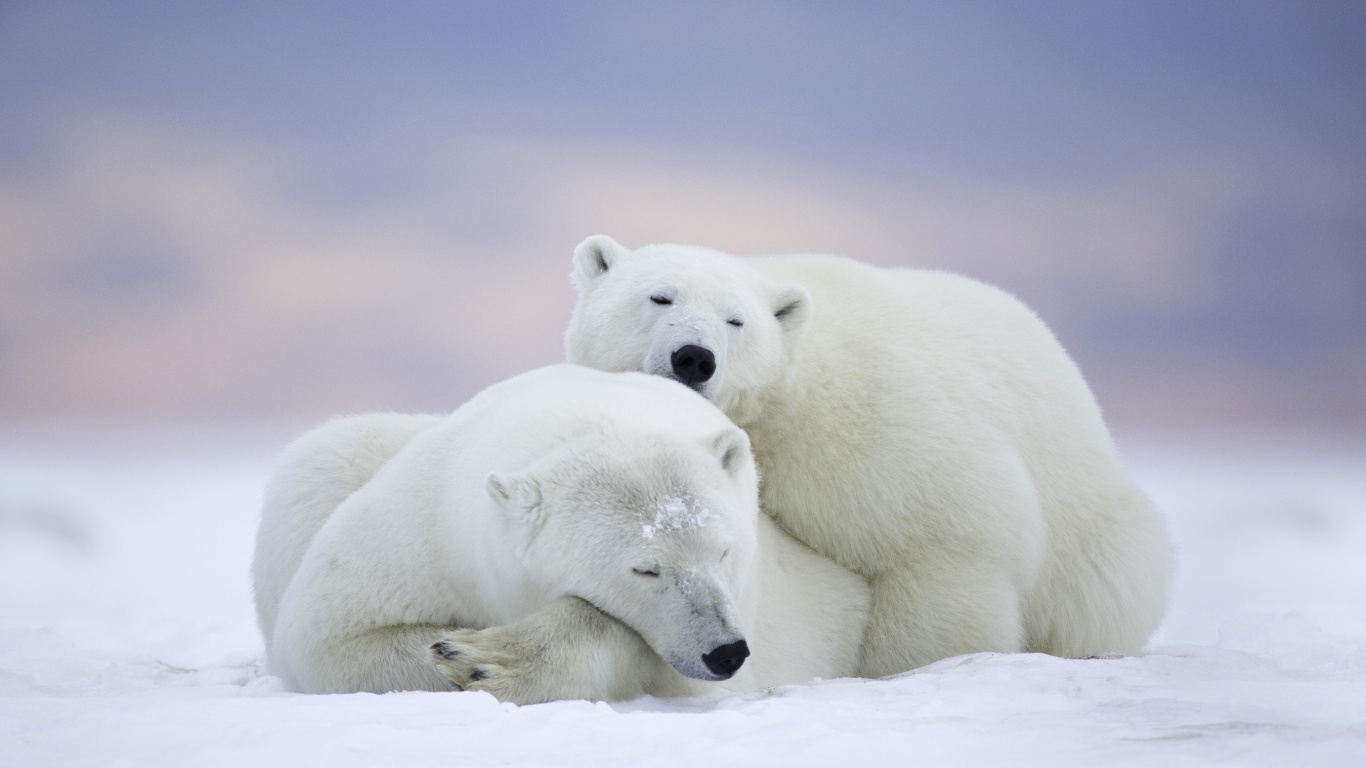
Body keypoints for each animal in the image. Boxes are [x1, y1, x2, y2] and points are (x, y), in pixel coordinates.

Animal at [252, 364, 870, 703]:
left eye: (724, 551)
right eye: (646, 568)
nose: (726, 651)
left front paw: (486, 658)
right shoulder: (426, 530)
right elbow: (328, 638)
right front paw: (457, 650)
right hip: (329, 465)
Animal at [564, 236, 1174, 678]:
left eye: (736, 320)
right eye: (659, 296)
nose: (694, 357)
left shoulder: (873, 431)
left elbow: (943, 543)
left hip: (1093, 531)